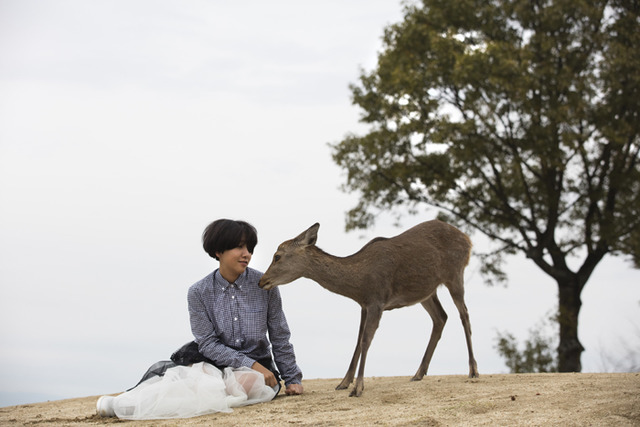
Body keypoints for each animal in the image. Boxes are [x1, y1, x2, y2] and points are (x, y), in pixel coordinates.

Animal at [258, 221, 478, 398]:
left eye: (277, 256)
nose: (262, 281)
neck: (359, 283)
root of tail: (468, 239)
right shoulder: (364, 305)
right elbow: (358, 340)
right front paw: (344, 382)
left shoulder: (377, 300)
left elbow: (366, 340)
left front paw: (358, 388)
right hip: (426, 291)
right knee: (441, 317)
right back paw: (418, 373)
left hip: (455, 273)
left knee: (464, 314)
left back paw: (473, 370)